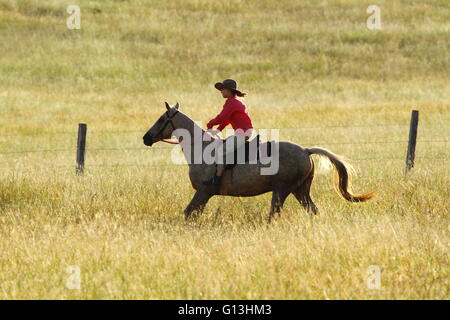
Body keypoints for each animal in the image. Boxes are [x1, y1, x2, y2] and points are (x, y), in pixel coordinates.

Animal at [143, 104, 372, 221]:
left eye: (161, 119)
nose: (146, 138)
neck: (202, 148)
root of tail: (305, 151)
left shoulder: (203, 192)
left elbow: (189, 213)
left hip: (281, 190)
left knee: (274, 214)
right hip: (300, 190)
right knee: (312, 210)